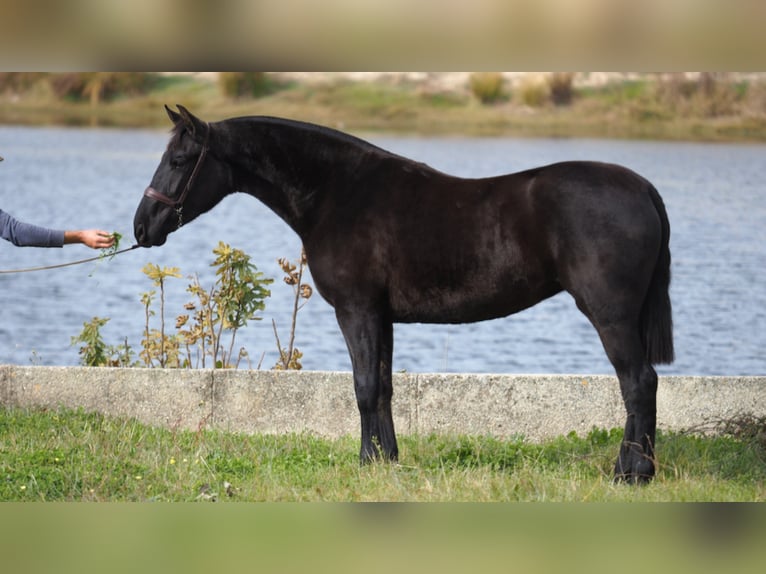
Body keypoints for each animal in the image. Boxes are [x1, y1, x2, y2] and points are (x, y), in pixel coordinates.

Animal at [135, 106, 676, 484]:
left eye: (179, 160)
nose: (141, 227)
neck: (336, 194)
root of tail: (642, 187)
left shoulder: (356, 311)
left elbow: (363, 387)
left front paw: (365, 462)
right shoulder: (382, 316)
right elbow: (384, 387)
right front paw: (387, 460)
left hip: (610, 315)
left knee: (638, 383)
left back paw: (631, 473)